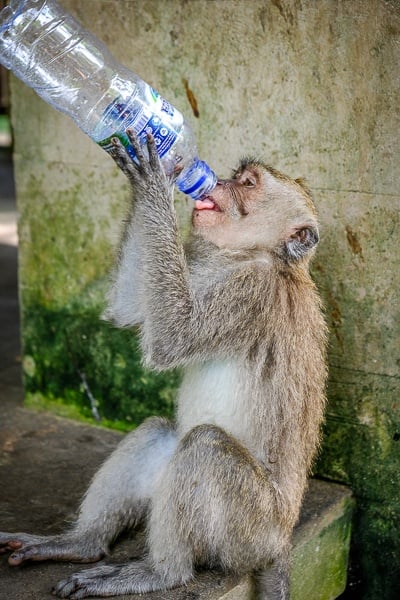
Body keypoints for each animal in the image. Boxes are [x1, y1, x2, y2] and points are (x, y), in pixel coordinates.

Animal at [0, 132, 328, 600]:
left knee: (204, 445)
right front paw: (143, 172)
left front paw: (155, 180)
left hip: (250, 531)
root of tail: (282, 541)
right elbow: (130, 310)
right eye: (236, 176)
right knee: (160, 431)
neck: (247, 257)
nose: (215, 183)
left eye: (247, 184)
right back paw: (81, 544)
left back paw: (160, 573)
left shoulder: (251, 293)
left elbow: (172, 338)